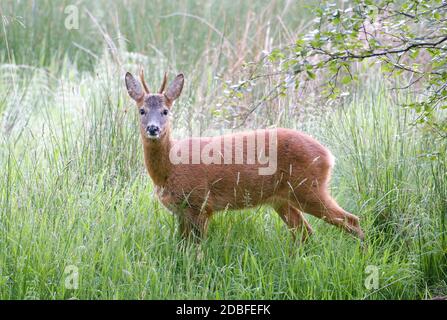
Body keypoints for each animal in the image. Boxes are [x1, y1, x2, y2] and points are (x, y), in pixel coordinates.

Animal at [125, 69, 364, 241]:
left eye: (165, 111)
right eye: (142, 110)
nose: (153, 128)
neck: (170, 168)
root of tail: (328, 155)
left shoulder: (201, 204)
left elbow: (196, 251)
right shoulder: (182, 212)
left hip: (309, 188)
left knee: (352, 220)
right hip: (282, 199)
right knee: (305, 232)